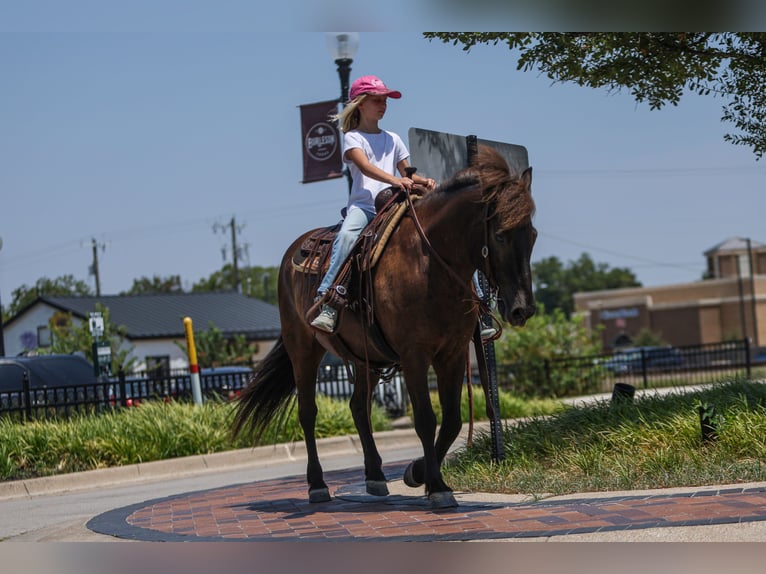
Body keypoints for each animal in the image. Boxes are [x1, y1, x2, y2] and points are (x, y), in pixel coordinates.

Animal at [231, 146, 536, 510]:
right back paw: (317, 485)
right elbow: (426, 419)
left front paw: (417, 473)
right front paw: (436, 486)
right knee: (308, 412)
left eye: (532, 235)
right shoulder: (414, 354)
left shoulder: (452, 352)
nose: (522, 308)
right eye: (500, 235)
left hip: (366, 358)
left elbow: (451, 421)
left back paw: (375, 476)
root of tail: (294, 251)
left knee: (358, 408)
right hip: (303, 348)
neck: (429, 262)